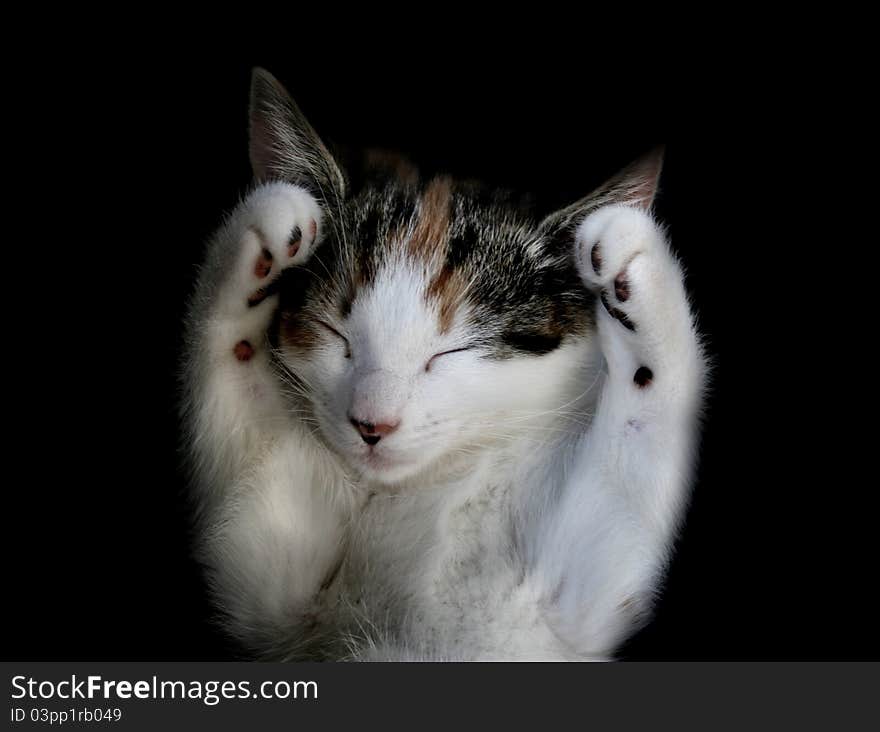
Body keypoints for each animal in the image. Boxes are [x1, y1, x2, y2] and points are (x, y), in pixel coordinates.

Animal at [180, 70, 708, 664]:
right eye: (334, 333)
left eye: (452, 351)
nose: (372, 425)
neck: (435, 482)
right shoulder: (278, 602)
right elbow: (252, 484)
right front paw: (262, 226)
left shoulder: (575, 606)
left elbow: (621, 502)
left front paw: (639, 266)